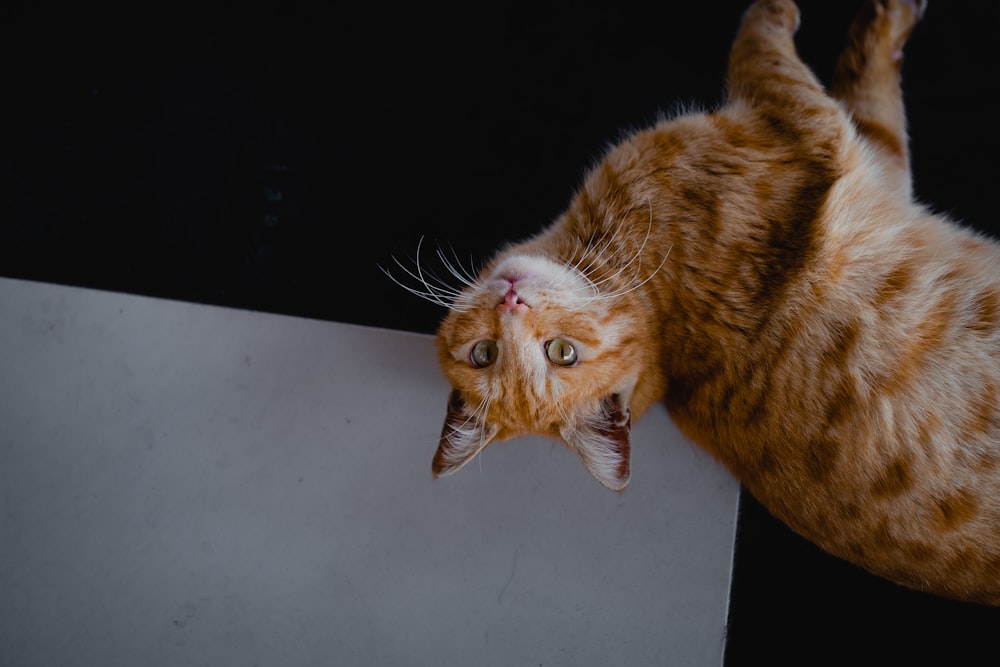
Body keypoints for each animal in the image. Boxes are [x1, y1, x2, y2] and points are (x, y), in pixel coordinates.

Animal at [406, 0, 1000, 604]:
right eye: (487, 354)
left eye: (561, 353)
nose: (511, 302)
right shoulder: (817, 128)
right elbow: (777, 49)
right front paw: (828, 15)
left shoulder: (864, 162)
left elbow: (867, 96)